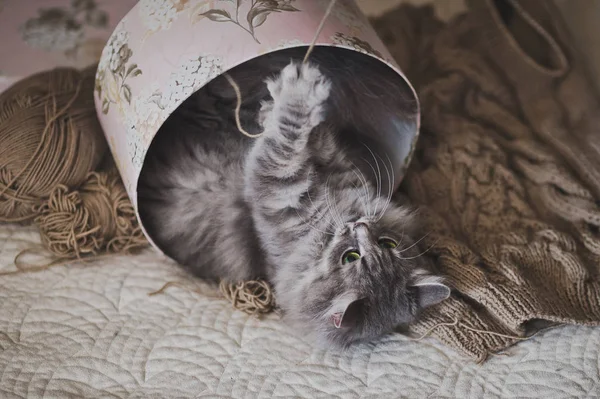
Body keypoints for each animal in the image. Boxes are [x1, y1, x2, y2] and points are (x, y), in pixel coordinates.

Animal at [138, 46, 450, 346]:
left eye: (350, 258)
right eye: (388, 243)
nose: (359, 226)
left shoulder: (276, 187)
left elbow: (284, 141)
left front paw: (296, 92)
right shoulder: (338, 169)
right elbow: (318, 141)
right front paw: (278, 108)